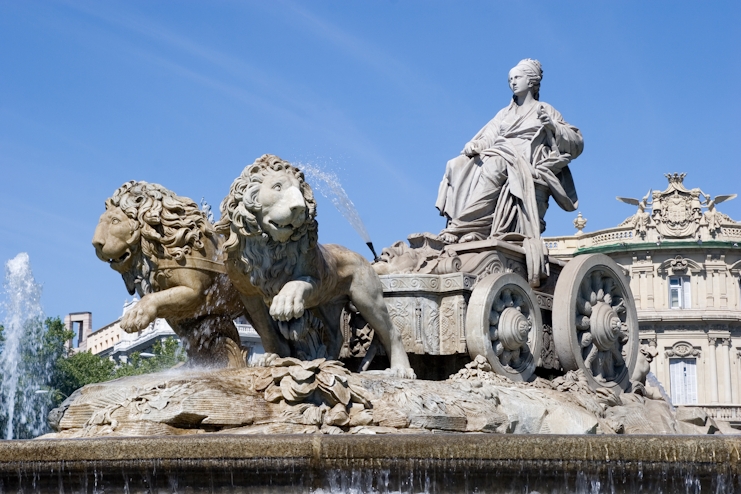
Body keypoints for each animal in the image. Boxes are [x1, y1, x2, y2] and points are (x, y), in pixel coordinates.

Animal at [90, 180, 280, 366]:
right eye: (101, 221)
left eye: (115, 221)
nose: (96, 244)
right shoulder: (179, 315)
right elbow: (191, 339)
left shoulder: (195, 291)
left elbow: (153, 300)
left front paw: (136, 314)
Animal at [215, 154, 416, 378]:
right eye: (278, 187)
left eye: (300, 191)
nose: (300, 208)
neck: (270, 248)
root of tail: (368, 259)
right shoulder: (249, 295)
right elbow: (268, 332)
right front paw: (274, 357)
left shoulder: (317, 279)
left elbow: (297, 283)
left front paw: (285, 302)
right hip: (327, 307)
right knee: (336, 337)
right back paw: (328, 360)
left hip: (367, 299)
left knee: (391, 330)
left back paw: (400, 369)